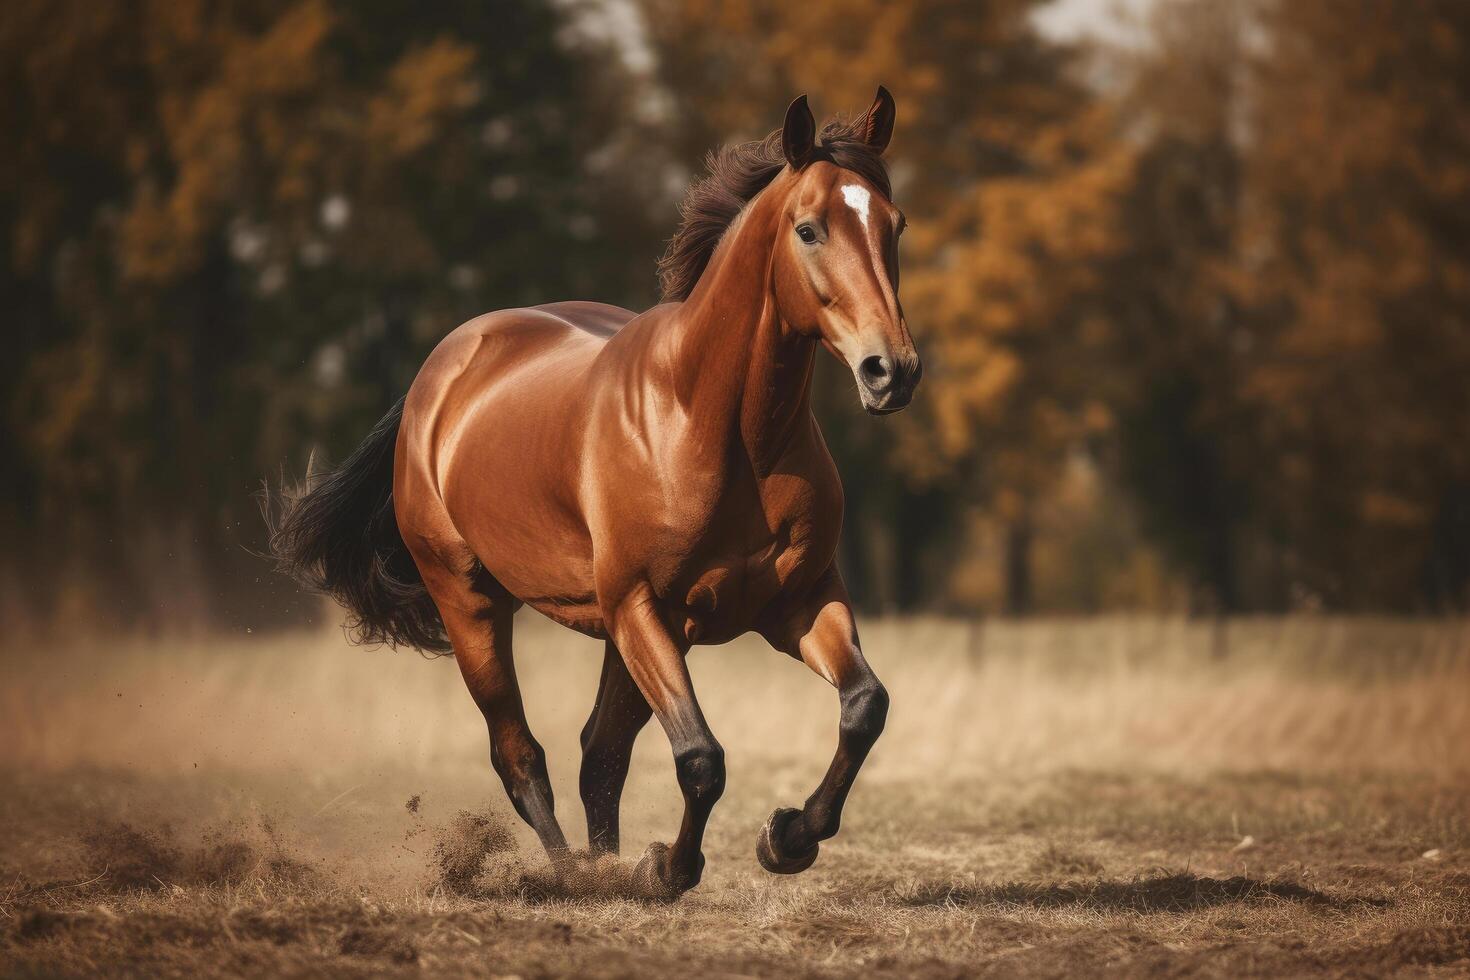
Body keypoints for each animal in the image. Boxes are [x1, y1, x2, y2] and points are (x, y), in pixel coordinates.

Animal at [267, 88, 917, 899]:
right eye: (809, 229)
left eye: (895, 224)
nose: (891, 371)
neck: (713, 424)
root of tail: (436, 376)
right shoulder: (641, 604)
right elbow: (701, 758)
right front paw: (668, 867)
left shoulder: (794, 600)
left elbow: (865, 707)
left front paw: (787, 837)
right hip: (473, 605)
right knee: (521, 755)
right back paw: (577, 873)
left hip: (629, 633)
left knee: (597, 753)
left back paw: (605, 863)